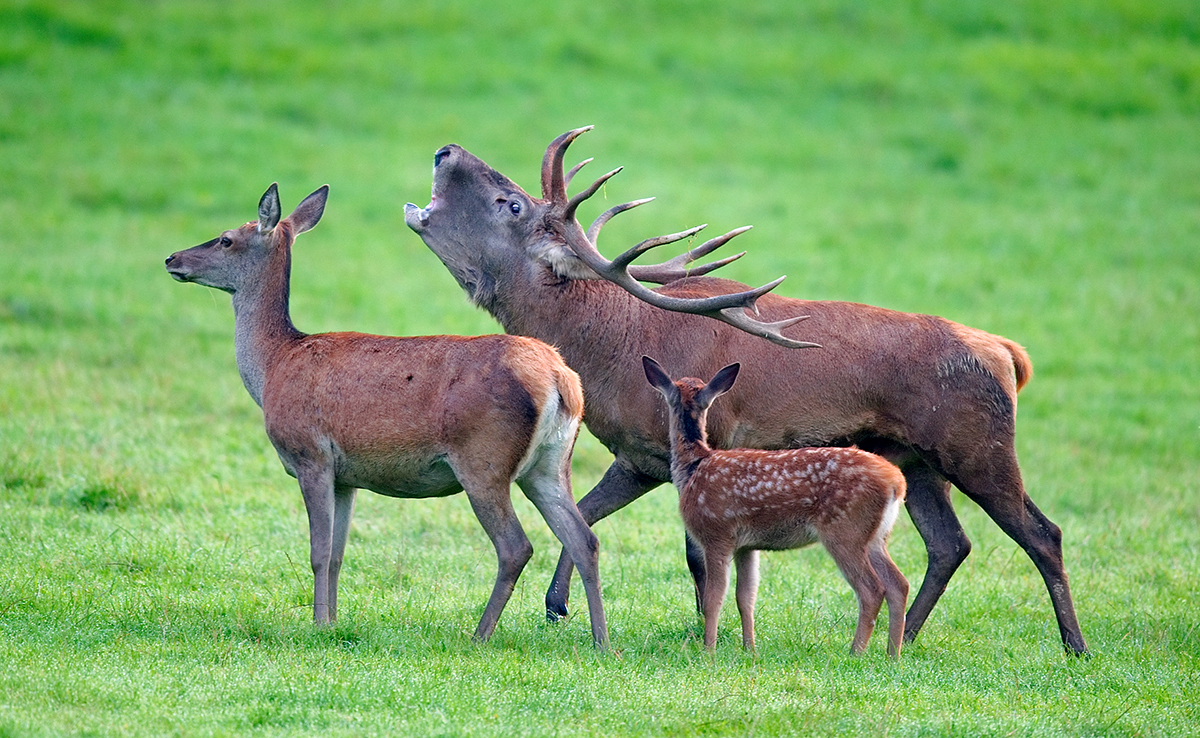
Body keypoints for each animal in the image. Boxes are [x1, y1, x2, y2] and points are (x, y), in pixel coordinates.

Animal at [166, 186, 609, 652]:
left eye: (226, 239)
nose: (172, 259)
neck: (274, 366)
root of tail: (561, 379)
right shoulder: (346, 476)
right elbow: (338, 554)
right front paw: (333, 621)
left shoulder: (310, 455)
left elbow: (318, 551)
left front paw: (317, 624)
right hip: (550, 463)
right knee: (584, 539)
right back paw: (601, 641)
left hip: (483, 459)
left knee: (516, 546)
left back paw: (480, 635)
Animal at [403, 127, 1089, 652]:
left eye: (510, 204)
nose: (445, 149)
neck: (606, 350)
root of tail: (1007, 354)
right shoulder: (641, 456)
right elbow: (590, 515)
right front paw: (557, 604)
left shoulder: (708, 441)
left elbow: (694, 554)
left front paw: (702, 632)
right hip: (917, 462)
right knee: (950, 544)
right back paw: (909, 637)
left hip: (976, 444)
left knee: (1042, 533)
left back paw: (1073, 645)